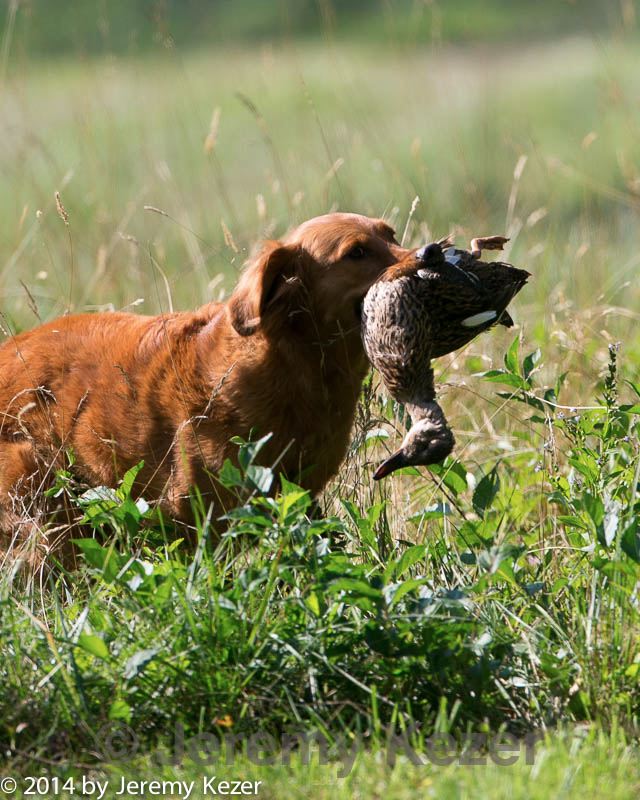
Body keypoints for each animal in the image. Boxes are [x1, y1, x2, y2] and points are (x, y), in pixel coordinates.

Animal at [0, 212, 412, 560]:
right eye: (356, 252)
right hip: (34, 487)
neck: (288, 364)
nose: (427, 253)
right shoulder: (195, 515)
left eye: (392, 235)